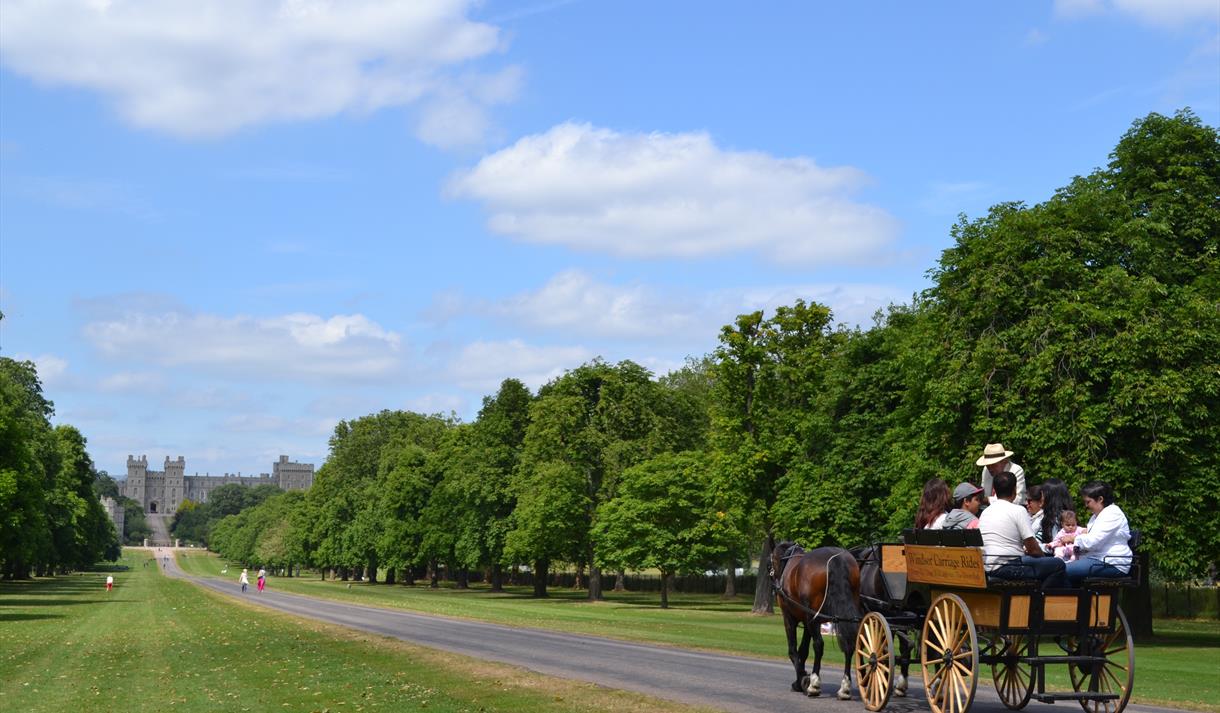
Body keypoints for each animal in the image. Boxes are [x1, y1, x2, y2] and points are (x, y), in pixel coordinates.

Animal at [771, 539, 858, 698]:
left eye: (772, 561)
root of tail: (837, 559)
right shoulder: (808, 621)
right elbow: (803, 650)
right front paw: (801, 679)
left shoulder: (789, 618)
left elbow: (793, 650)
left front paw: (802, 679)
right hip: (844, 615)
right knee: (849, 643)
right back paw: (845, 686)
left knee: (818, 645)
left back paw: (814, 684)